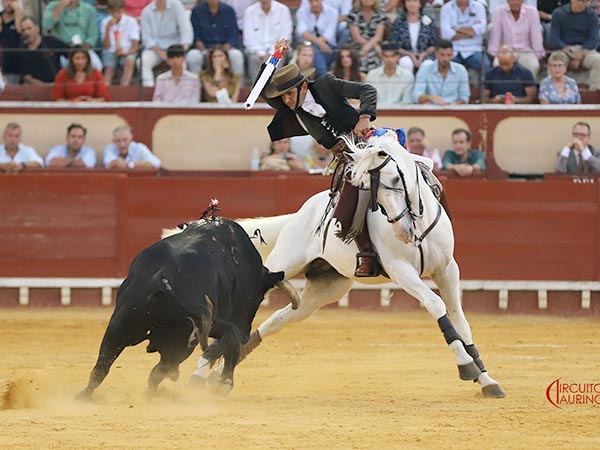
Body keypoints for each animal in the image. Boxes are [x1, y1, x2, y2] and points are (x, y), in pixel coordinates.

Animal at [77, 218, 298, 398]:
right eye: (259, 299)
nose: (246, 333)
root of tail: (162, 278)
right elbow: (230, 340)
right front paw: (224, 382)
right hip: (182, 340)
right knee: (161, 370)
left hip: (122, 324)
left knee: (103, 365)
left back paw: (85, 396)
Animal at [170, 127, 506, 398]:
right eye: (369, 189)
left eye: (396, 179)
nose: (402, 231)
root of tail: (300, 214)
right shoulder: (401, 270)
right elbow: (437, 306)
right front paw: (466, 366)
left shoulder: (447, 268)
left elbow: (460, 320)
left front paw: (486, 379)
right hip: (282, 265)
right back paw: (201, 373)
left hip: (325, 288)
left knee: (281, 317)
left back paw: (225, 365)